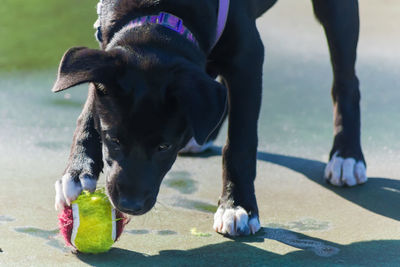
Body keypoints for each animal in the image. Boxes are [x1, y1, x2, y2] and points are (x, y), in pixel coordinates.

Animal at [53, 0, 366, 238]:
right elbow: (89, 108)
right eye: (113, 139)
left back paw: (347, 156)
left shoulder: (248, 59)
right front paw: (78, 170)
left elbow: (240, 144)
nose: (130, 204)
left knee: (346, 82)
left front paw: (237, 206)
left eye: (164, 147)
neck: (161, 13)